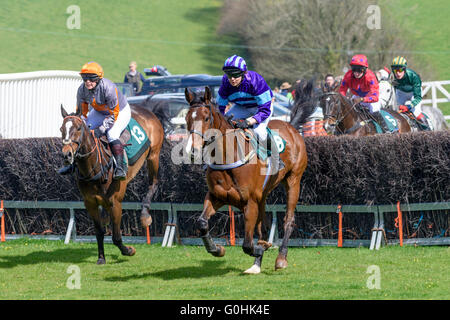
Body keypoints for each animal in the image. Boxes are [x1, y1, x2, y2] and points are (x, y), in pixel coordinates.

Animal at [59, 104, 163, 264]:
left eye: (78, 128)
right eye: (61, 129)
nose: (66, 155)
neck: (95, 167)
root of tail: (145, 110)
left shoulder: (115, 203)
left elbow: (116, 237)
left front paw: (128, 250)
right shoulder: (90, 203)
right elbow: (99, 232)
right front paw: (101, 257)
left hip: (153, 155)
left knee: (154, 183)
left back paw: (145, 215)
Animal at [185, 87, 308, 272]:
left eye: (206, 118)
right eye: (187, 118)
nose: (193, 150)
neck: (227, 158)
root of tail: (290, 126)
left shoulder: (250, 202)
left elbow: (247, 245)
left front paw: (260, 248)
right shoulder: (216, 196)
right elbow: (202, 223)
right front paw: (217, 249)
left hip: (293, 181)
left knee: (288, 220)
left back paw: (281, 258)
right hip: (263, 195)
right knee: (263, 226)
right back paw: (256, 265)